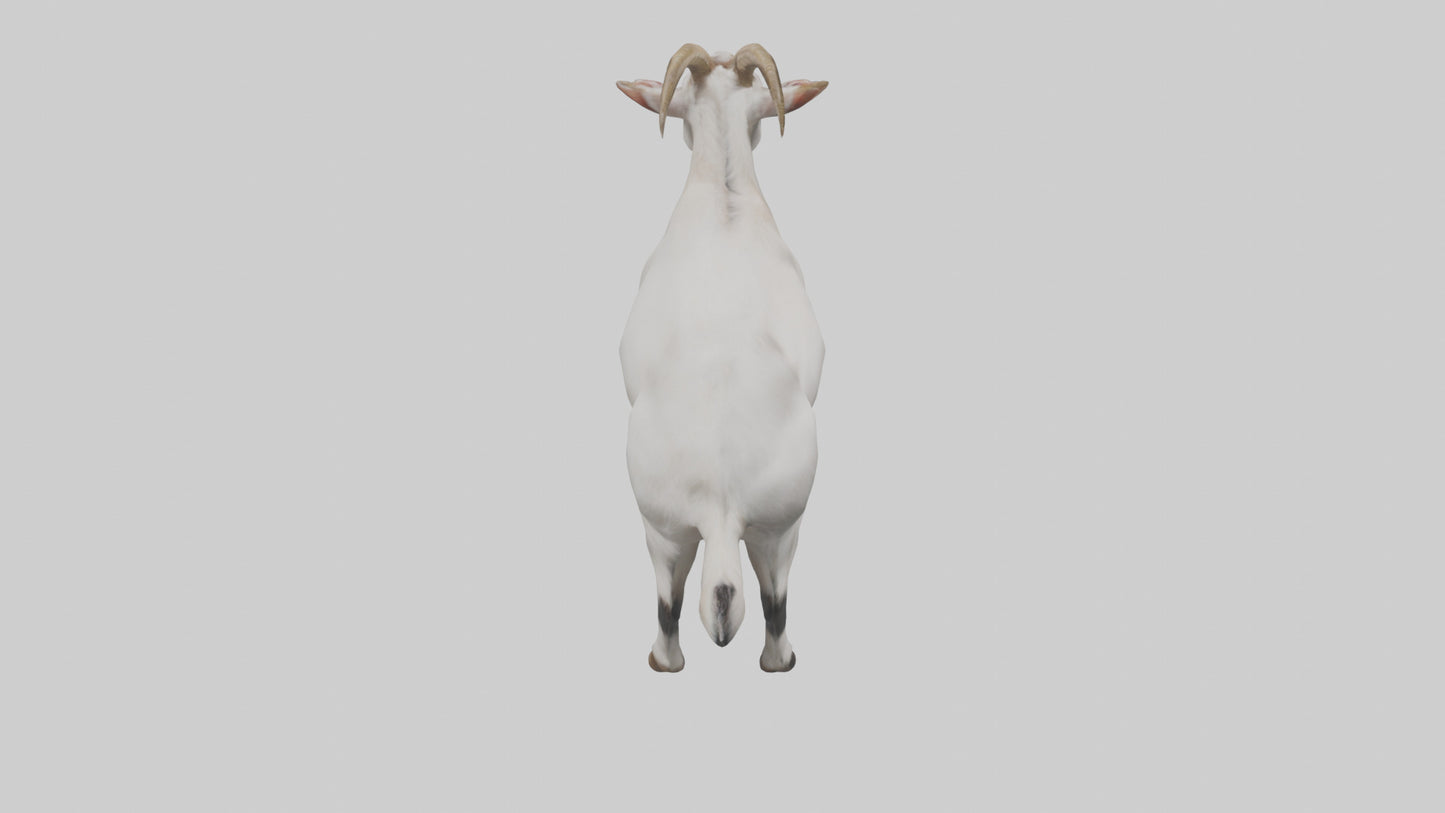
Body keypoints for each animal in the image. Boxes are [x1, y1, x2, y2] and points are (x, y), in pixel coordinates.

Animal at [617, 44, 828, 672]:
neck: (725, 200)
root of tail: (720, 500)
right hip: (776, 526)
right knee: (767, 599)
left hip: (673, 527)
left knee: (679, 601)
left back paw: (669, 662)